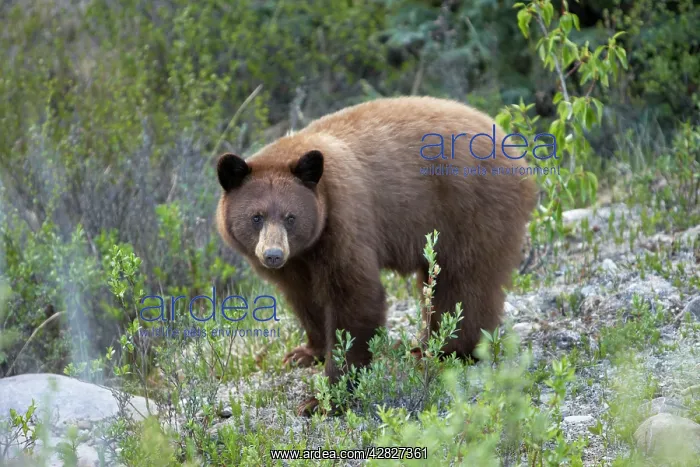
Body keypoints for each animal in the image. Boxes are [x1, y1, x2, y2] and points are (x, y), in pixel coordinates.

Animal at [215, 96, 538, 414]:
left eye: (290, 217)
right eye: (256, 217)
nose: (272, 254)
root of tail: (516, 152)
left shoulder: (345, 219)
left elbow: (354, 298)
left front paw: (324, 397)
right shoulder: (298, 261)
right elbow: (306, 299)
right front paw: (305, 353)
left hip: (471, 209)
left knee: (463, 284)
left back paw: (444, 350)